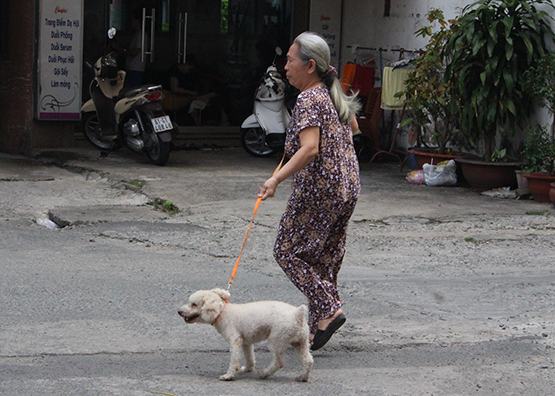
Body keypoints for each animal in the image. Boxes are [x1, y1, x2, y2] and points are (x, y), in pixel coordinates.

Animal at [180, 286, 314, 382]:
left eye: (193, 304)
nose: (179, 311)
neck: (222, 312)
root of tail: (298, 315)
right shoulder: (246, 342)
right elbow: (249, 357)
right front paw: (247, 369)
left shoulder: (235, 341)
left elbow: (234, 360)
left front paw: (229, 375)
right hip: (301, 342)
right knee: (308, 360)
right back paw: (303, 377)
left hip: (277, 341)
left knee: (279, 363)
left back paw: (264, 374)